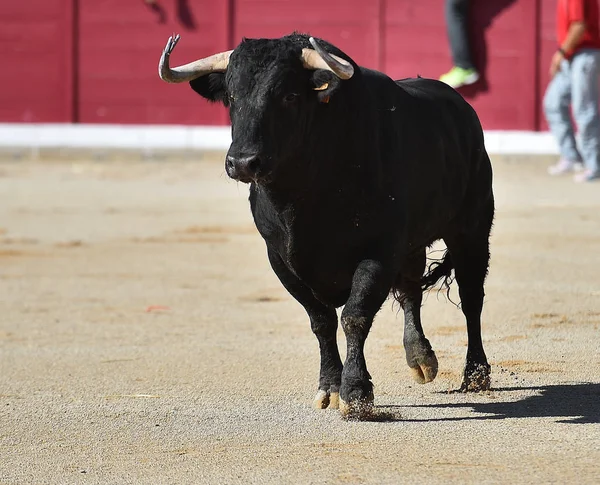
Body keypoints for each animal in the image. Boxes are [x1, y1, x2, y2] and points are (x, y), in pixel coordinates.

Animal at [158, 32, 492, 418]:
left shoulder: (378, 251)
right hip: (411, 244)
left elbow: (354, 316)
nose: (242, 162)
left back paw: (476, 374)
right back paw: (420, 358)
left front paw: (356, 393)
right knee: (411, 290)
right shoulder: (280, 258)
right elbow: (321, 321)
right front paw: (330, 388)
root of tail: (460, 108)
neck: (303, 199)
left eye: (289, 95)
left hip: (472, 228)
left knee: (471, 297)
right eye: (231, 96)